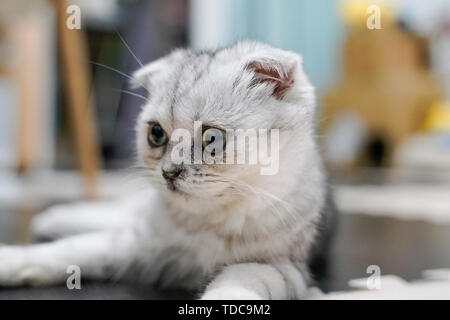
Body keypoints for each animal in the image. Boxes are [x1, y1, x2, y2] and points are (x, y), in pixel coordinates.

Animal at [0, 40, 326, 300]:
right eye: (156, 134)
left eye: (211, 138)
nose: (168, 172)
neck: (205, 225)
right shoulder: (138, 244)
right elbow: (71, 250)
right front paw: (11, 261)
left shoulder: (283, 268)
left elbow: (242, 279)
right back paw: (55, 217)